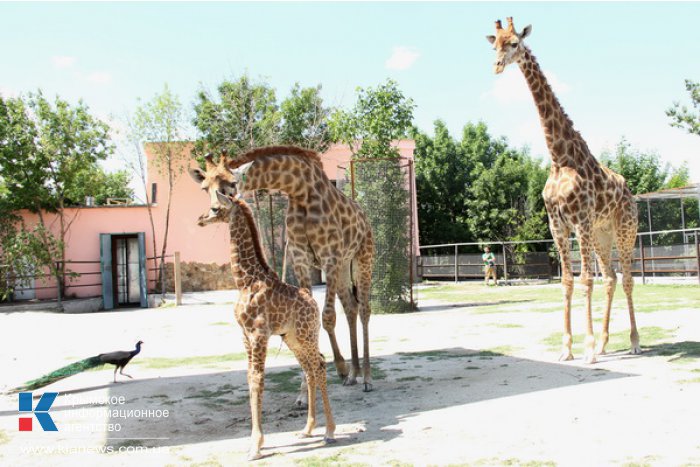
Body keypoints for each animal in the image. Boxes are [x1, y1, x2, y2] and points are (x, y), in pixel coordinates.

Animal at [194, 189, 336, 460]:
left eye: (216, 207)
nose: (200, 219)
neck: (246, 280)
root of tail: (312, 301)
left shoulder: (259, 334)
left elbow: (258, 379)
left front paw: (256, 446)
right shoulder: (245, 335)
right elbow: (250, 378)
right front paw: (256, 443)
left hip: (306, 335)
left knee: (320, 366)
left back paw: (329, 432)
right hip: (292, 339)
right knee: (310, 369)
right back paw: (307, 429)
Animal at [486, 18, 640, 364]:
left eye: (514, 43)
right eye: (494, 45)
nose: (497, 66)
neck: (559, 157)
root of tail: (630, 193)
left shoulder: (580, 221)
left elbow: (585, 280)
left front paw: (587, 350)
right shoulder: (557, 225)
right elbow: (568, 281)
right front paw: (568, 347)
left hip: (624, 230)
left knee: (626, 278)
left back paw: (634, 342)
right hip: (602, 234)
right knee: (610, 277)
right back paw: (605, 343)